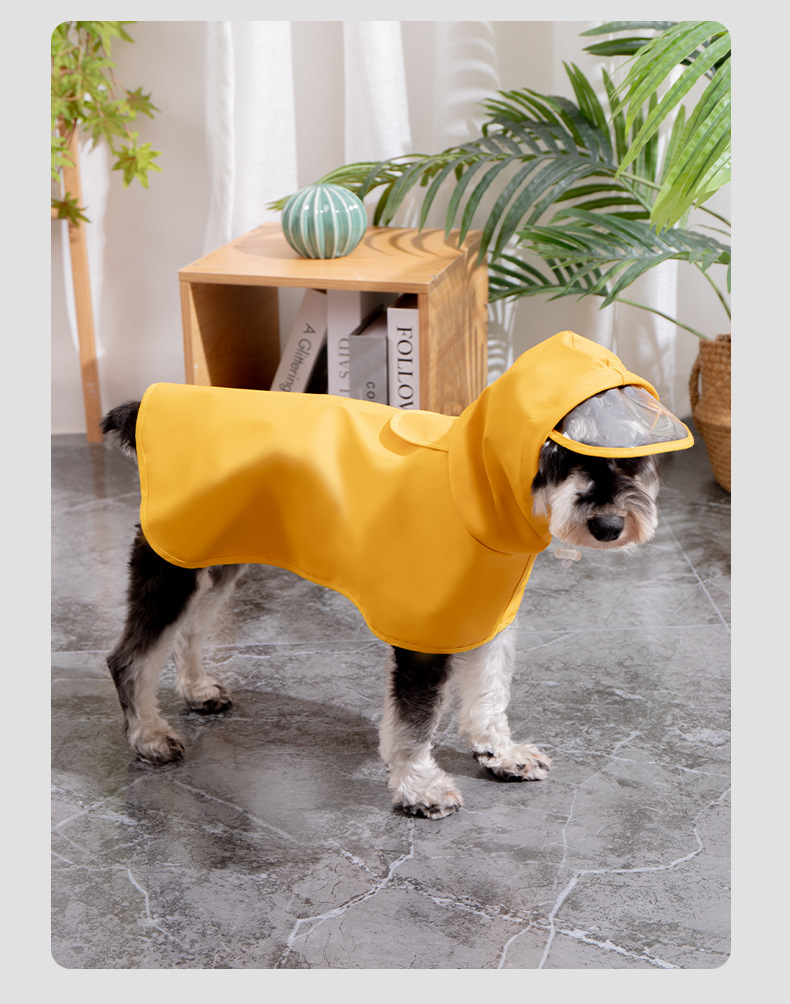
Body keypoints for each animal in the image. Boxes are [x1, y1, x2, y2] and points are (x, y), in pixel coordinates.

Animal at [100, 398, 662, 820]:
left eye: (634, 454)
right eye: (559, 449)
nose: (609, 526)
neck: (486, 488)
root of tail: (146, 405)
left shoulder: (489, 616)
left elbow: (489, 692)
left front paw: (500, 754)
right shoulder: (424, 639)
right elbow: (414, 722)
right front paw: (419, 787)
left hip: (215, 561)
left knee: (189, 631)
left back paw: (197, 690)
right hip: (172, 566)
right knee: (131, 656)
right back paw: (149, 735)